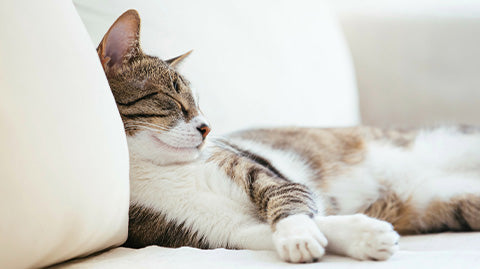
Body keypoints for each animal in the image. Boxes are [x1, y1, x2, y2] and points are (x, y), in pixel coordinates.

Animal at [95, 9, 480, 262]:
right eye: (173, 100)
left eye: (199, 104)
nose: (207, 128)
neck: (161, 170)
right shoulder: (206, 231)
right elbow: (274, 228)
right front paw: (358, 236)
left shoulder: (263, 172)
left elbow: (290, 199)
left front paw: (307, 233)